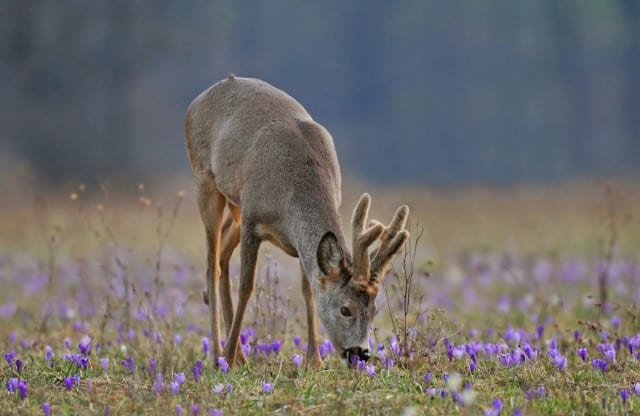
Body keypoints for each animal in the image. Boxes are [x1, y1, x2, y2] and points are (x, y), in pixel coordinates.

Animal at [184, 75, 410, 368]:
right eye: (345, 309)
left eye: (373, 310)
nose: (360, 353)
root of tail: (196, 101)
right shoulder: (252, 219)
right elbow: (247, 285)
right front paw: (228, 356)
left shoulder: (297, 241)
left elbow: (308, 289)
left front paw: (315, 360)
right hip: (205, 178)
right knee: (213, 264)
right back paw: (218, 354)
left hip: (235, 206)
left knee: (222, 254)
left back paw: (240, 354)